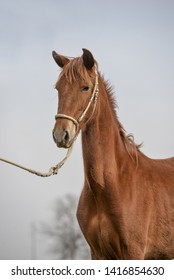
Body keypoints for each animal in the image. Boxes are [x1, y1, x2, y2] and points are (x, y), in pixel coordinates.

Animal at [51, 48, 174, 260]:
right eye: (58, 88)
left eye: (85, 87)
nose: (61, 134)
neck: (113, 183)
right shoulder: (97, 253)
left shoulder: (134, 251)